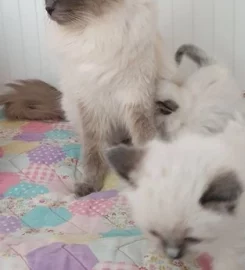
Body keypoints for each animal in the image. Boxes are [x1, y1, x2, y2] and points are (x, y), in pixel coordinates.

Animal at [45, 0, 173, 196]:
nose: (48, 8)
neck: (101, 28)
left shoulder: (136, 97)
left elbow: (145, 139)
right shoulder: (90, 102)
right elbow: (93, 152)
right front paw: (89, 185)